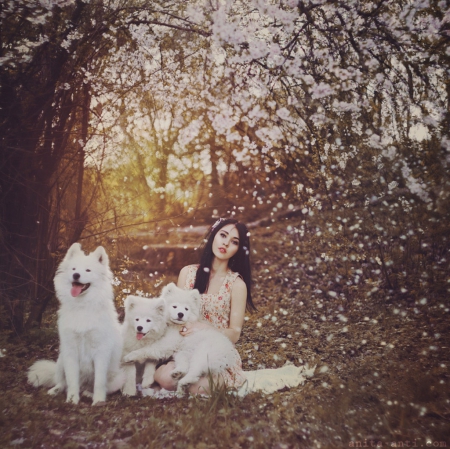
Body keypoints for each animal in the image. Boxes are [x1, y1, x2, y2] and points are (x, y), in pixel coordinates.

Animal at [27, 243, 124, 404]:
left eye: (88, 270)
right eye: (73, 269)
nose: (76, 275)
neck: (82, 305)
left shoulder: (101, 352)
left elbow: (99, 382)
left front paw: (98, 401)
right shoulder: (70, 351)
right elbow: (72, 380)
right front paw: (72, 400)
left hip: (117, 378)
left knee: (99, 387)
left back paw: (89, 394)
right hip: (61, 360)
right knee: (62, 382)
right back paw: (55, 391)